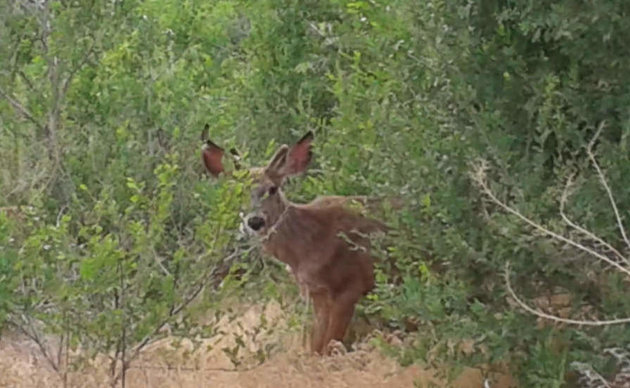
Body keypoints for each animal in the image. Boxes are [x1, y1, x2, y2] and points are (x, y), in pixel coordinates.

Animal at [204, 130, 390, 354]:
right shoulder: (315, 293)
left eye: (272, 188)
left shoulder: (350, 285)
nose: (255, 221)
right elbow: (316, 346)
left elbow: (329, 345)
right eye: (238, 191)